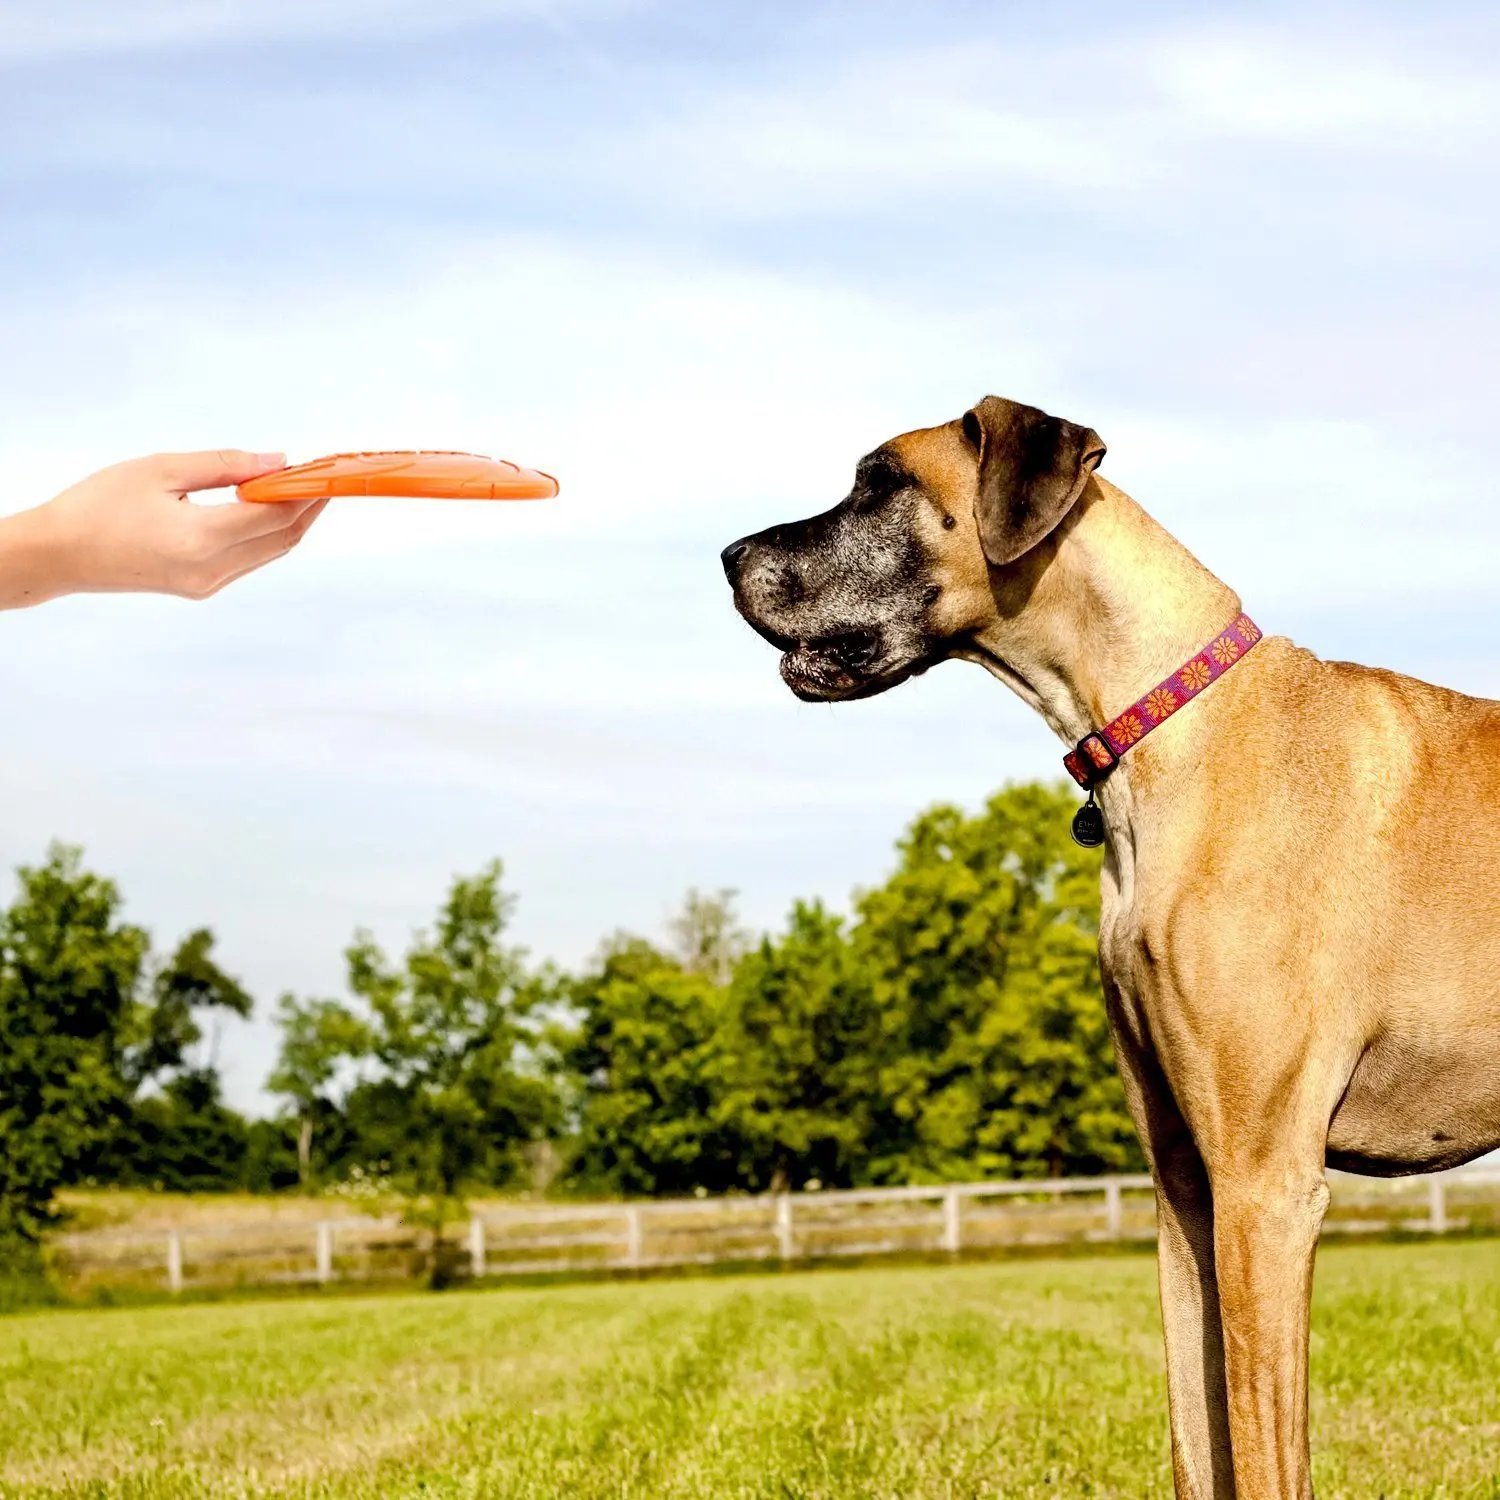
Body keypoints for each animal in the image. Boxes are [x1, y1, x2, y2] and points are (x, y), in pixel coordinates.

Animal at [720, 399, 1500, 1500]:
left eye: (881, 483)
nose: (727, 557)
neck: (1167, 729)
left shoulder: (1265, 1185)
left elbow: (1263, 1451)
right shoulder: (1186, 1185)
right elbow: (1198, 1440)